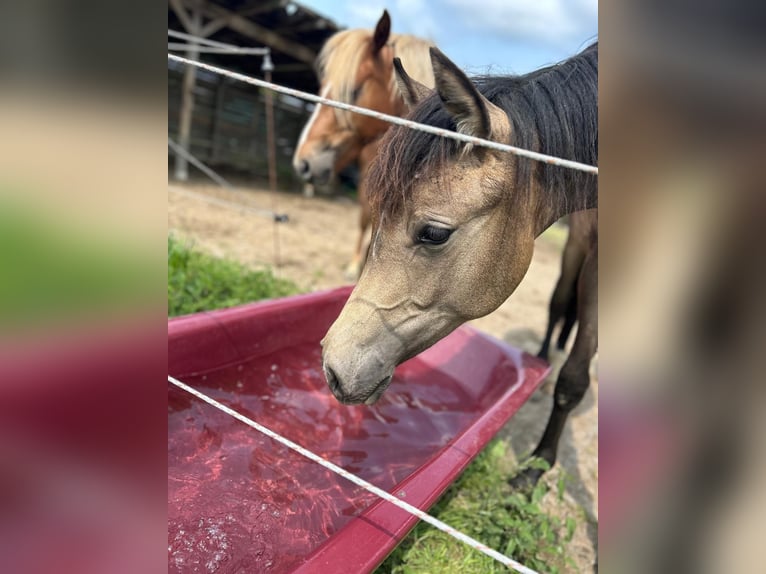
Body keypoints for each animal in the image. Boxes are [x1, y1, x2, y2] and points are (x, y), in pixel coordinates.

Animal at [321, 42, 598, 487]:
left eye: (434, 233)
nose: (332, 368)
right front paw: (535, 468)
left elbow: (574, 375)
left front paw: (535, 467)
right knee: (557, 308)